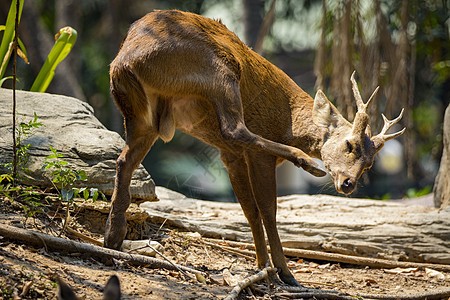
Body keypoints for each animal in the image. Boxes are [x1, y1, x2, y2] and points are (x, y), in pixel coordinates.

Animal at [103, 9, 406, 286]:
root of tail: (125, 60)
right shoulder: (255, 155)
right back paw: (307, 163)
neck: (288, 121)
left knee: (124, 160)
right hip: (220, 71)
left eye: (369, 163)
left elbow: (249, 209)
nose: (348, 183)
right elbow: (268, 209)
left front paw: (262, 266)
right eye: (349, 144)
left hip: (141, 117)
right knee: (234, 128)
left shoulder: (230, 156)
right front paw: (284, 271)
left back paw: (112, 237)